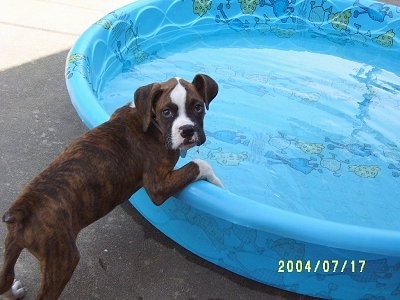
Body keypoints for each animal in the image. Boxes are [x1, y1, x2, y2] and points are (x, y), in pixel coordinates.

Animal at [0, 74, 222, 298]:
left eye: (198, 107)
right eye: (166, 112)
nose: (187, 130)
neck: (149, 120)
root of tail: (23, 209)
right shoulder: (158, 186)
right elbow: (199, 164)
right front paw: (218, 184)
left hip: (12, 244)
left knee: (5, 278)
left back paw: (13, 291)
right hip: (62, 260)